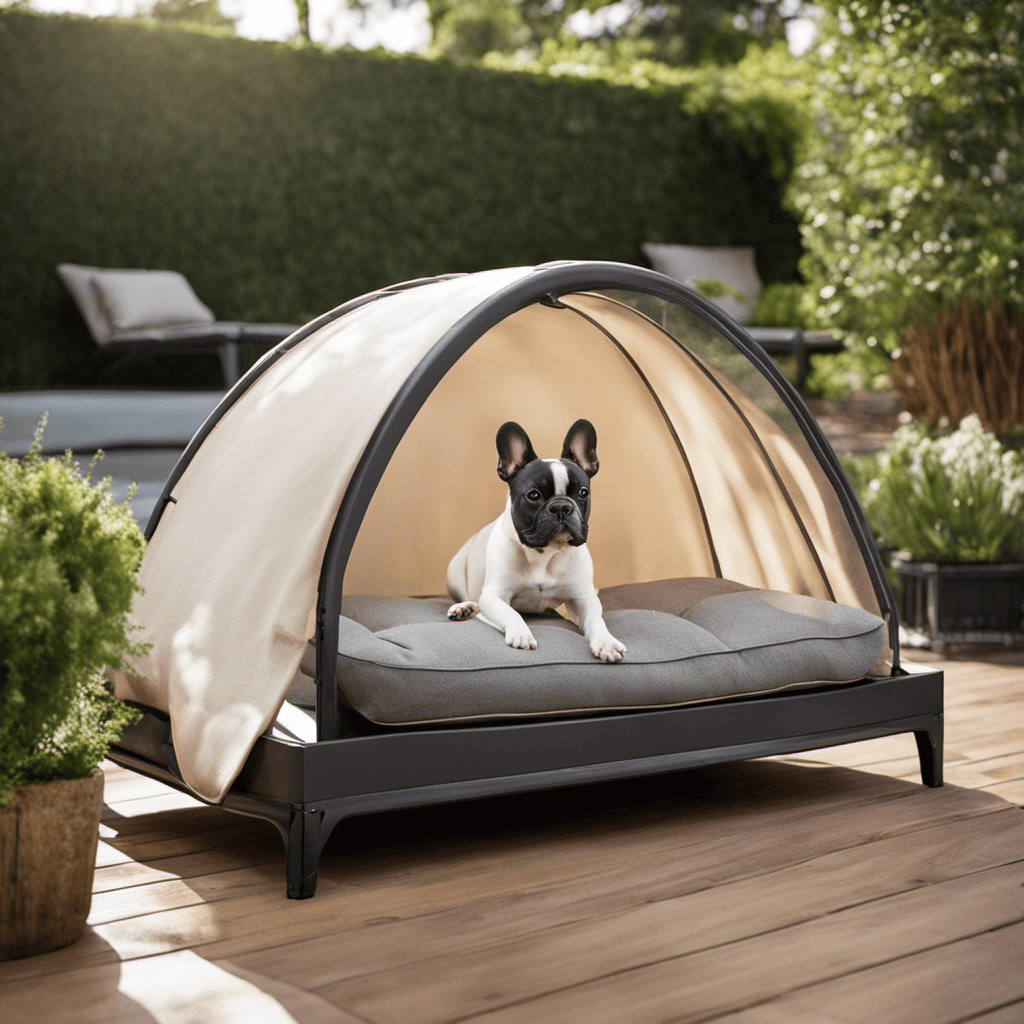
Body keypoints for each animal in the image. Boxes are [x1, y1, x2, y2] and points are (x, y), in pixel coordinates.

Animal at [446, 417, 626, 663]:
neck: (544, 553)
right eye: (534, 495)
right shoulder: (495, 595)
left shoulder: (583, 598)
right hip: (454, 571)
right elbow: (511, 612)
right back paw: (464, 608)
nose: (561, 506)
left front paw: (606, 641)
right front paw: (521, 634)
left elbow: (595, 620)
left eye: (583, 493)